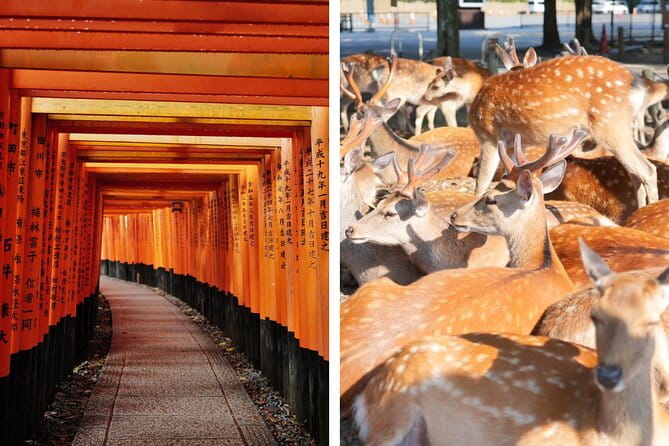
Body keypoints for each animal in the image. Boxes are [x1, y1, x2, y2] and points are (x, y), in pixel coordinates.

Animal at [468, 52, 659, 208]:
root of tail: (636, 85)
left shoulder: (489, 135)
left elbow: (481, 184)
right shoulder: (508, 145)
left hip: (610, 124)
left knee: (647, 169)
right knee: (635, 173)